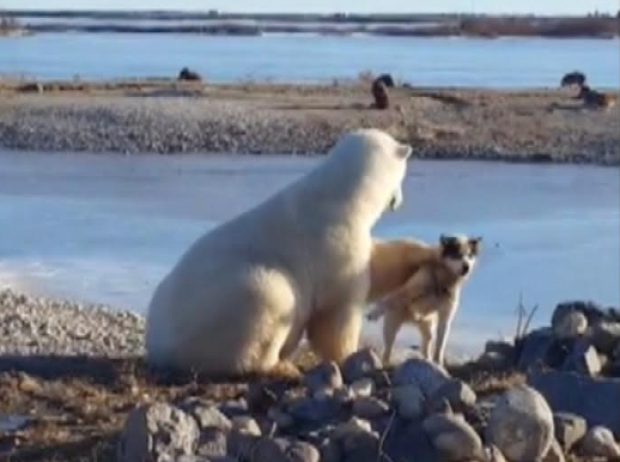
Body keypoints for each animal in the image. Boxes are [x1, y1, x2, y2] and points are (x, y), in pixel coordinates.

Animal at [147, 129, 412, 376]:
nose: (399, 202)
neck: (341, 197)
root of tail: (159, 348)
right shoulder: (336, 243)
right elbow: (335, 313)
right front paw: (350, 354)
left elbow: (379, 267)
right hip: (232, 301)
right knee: (273, 299)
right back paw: (281, 366)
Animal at [366, 236, 482, 366]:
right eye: (457, 255)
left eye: (470, 255)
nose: (466, 267)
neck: (441, 281)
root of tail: (413, 320)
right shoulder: (409, 290)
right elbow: (390, 299)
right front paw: (373, 313)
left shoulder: (445, 316)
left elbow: (440, 345)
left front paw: (438, 363)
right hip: (392, 326)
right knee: (388, 348)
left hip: (428, 328)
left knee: (426, 346)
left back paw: (428, 361)